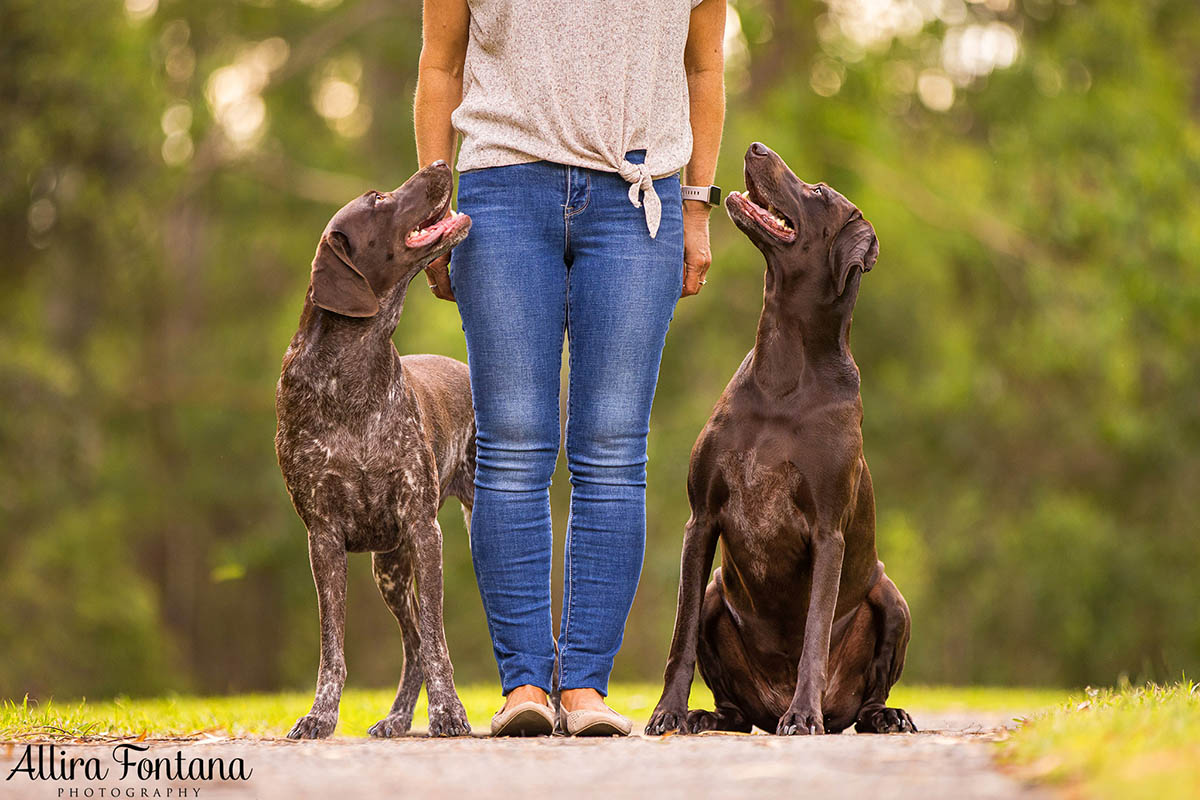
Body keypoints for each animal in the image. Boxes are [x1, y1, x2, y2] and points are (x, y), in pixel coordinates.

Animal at [274, 160, 472, 738]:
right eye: (379, 199)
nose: (439, 163)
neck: (353, 368)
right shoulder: (323, 539)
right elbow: (332, 649)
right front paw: (319, 716)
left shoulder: (424, 530)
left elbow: (438, 644)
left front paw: (450, 712)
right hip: (389, 569)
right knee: (411, 646)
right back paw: (398, 717)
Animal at [648, 142, 916, 738]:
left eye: (817, 192)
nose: (756, 147)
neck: (783, 369)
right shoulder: (701, 520)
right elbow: (678, 636)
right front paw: (667, 711)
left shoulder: (828, 534)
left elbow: (814, 633)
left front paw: (805, 714)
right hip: (717, 594)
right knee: (733, 705)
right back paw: (707, 715)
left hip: (890, 597)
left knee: (868, 696)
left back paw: (877, 714)